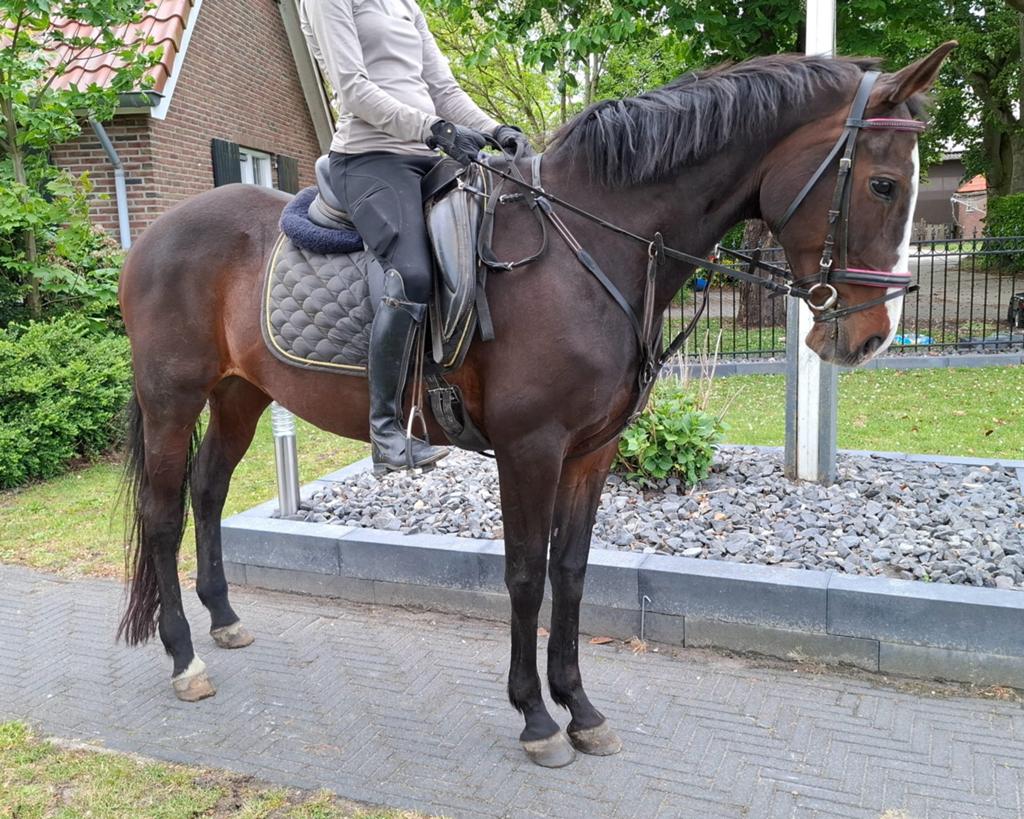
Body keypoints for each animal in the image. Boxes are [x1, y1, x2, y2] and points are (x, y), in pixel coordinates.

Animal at [116, 44, 954, 768]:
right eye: (883, 184)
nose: (871, 336)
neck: (590, 246)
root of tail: (155, 233)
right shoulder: (530, 448)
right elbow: (524, 573)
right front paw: (536, 717)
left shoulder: (591, 450)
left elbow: (572, 572)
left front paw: (580, 708)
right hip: (172, 397)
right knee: (162, 511)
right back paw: (184, 656)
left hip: (240, 395)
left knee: (207, 491)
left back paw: (224, 622)